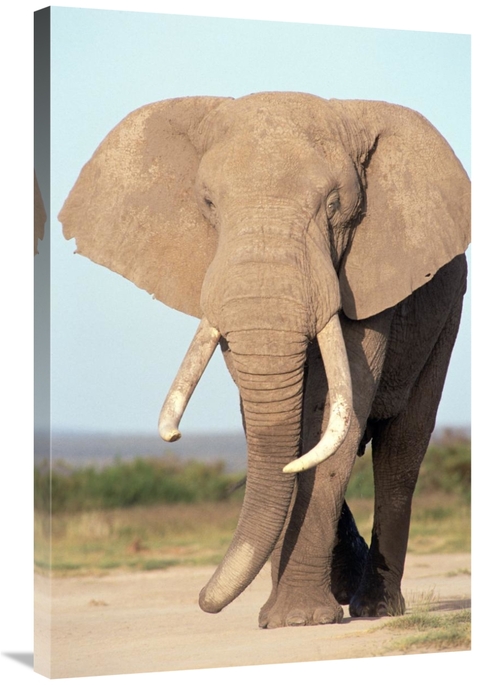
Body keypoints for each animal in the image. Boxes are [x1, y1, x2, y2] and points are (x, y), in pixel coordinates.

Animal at [59, 92, 470, 628]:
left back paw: (376, 608)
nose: (204, 601)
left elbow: (332, 416)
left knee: (402, 452)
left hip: (448, 310)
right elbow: (276, 424)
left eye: (335, 206)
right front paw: (283, 615)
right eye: (208, 203)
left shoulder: (369, 276)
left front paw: (299, 619)